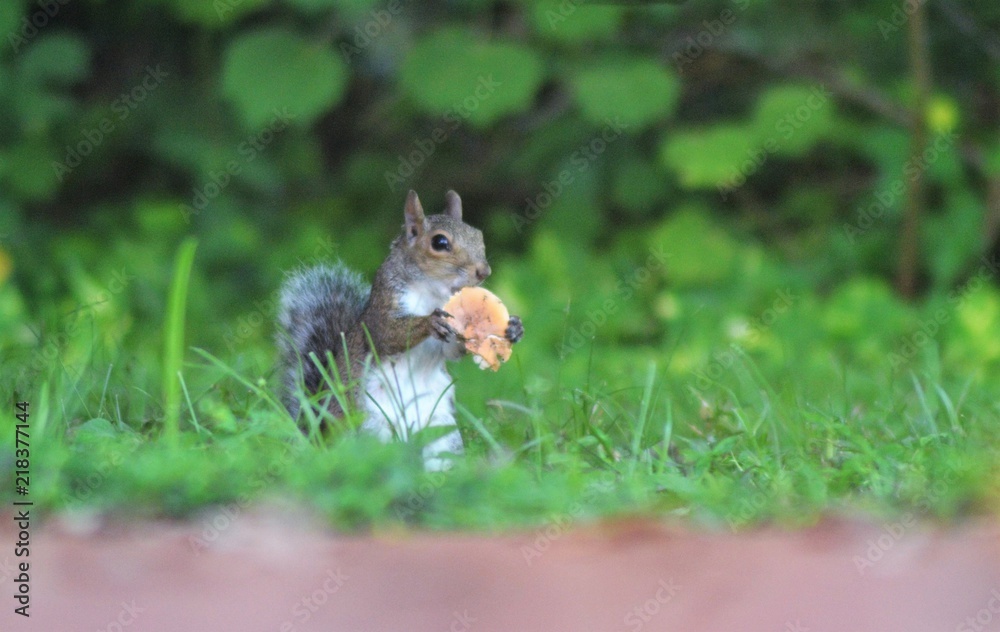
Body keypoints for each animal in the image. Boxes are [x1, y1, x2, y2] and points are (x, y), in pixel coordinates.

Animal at [277, 190, 524, 470]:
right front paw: (429, 322)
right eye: (439, 242)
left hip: (440, 431)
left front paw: (514, 329)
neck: (432, 290)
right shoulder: (383, 306)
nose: (484, 272)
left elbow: (451, 350)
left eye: (478, 235)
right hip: (367, 427)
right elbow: (388, 334)